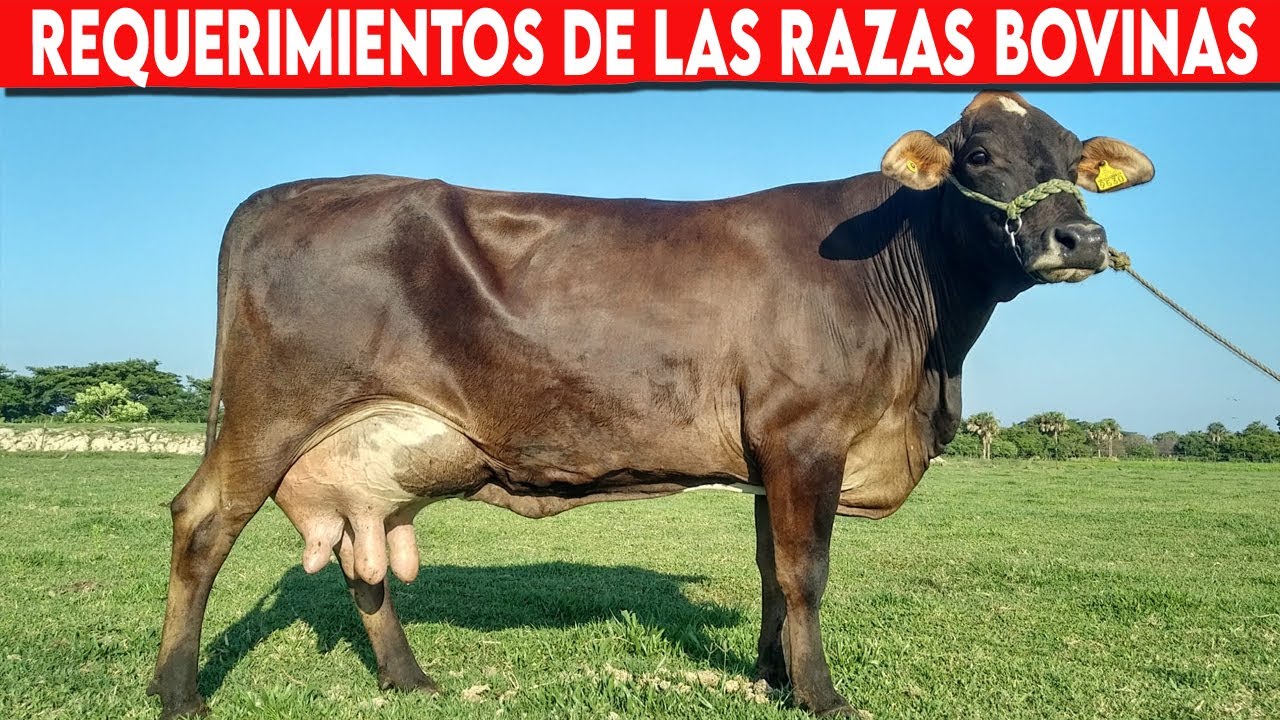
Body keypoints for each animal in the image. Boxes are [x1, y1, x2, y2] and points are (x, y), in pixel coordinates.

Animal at [148, 91, 1154, 719]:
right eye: (978, 155)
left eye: (1075, 160)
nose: (1080, 236)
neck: (926, 358)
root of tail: (283, 194)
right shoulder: (805, 435)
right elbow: (807, 573)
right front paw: (823, 694)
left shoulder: (771, 454)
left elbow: (770, 571)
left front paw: (773, 675)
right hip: (272, 410)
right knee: (203, 521)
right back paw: (179, 691)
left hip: (365, 449)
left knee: (365, 554)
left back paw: (409, 679)